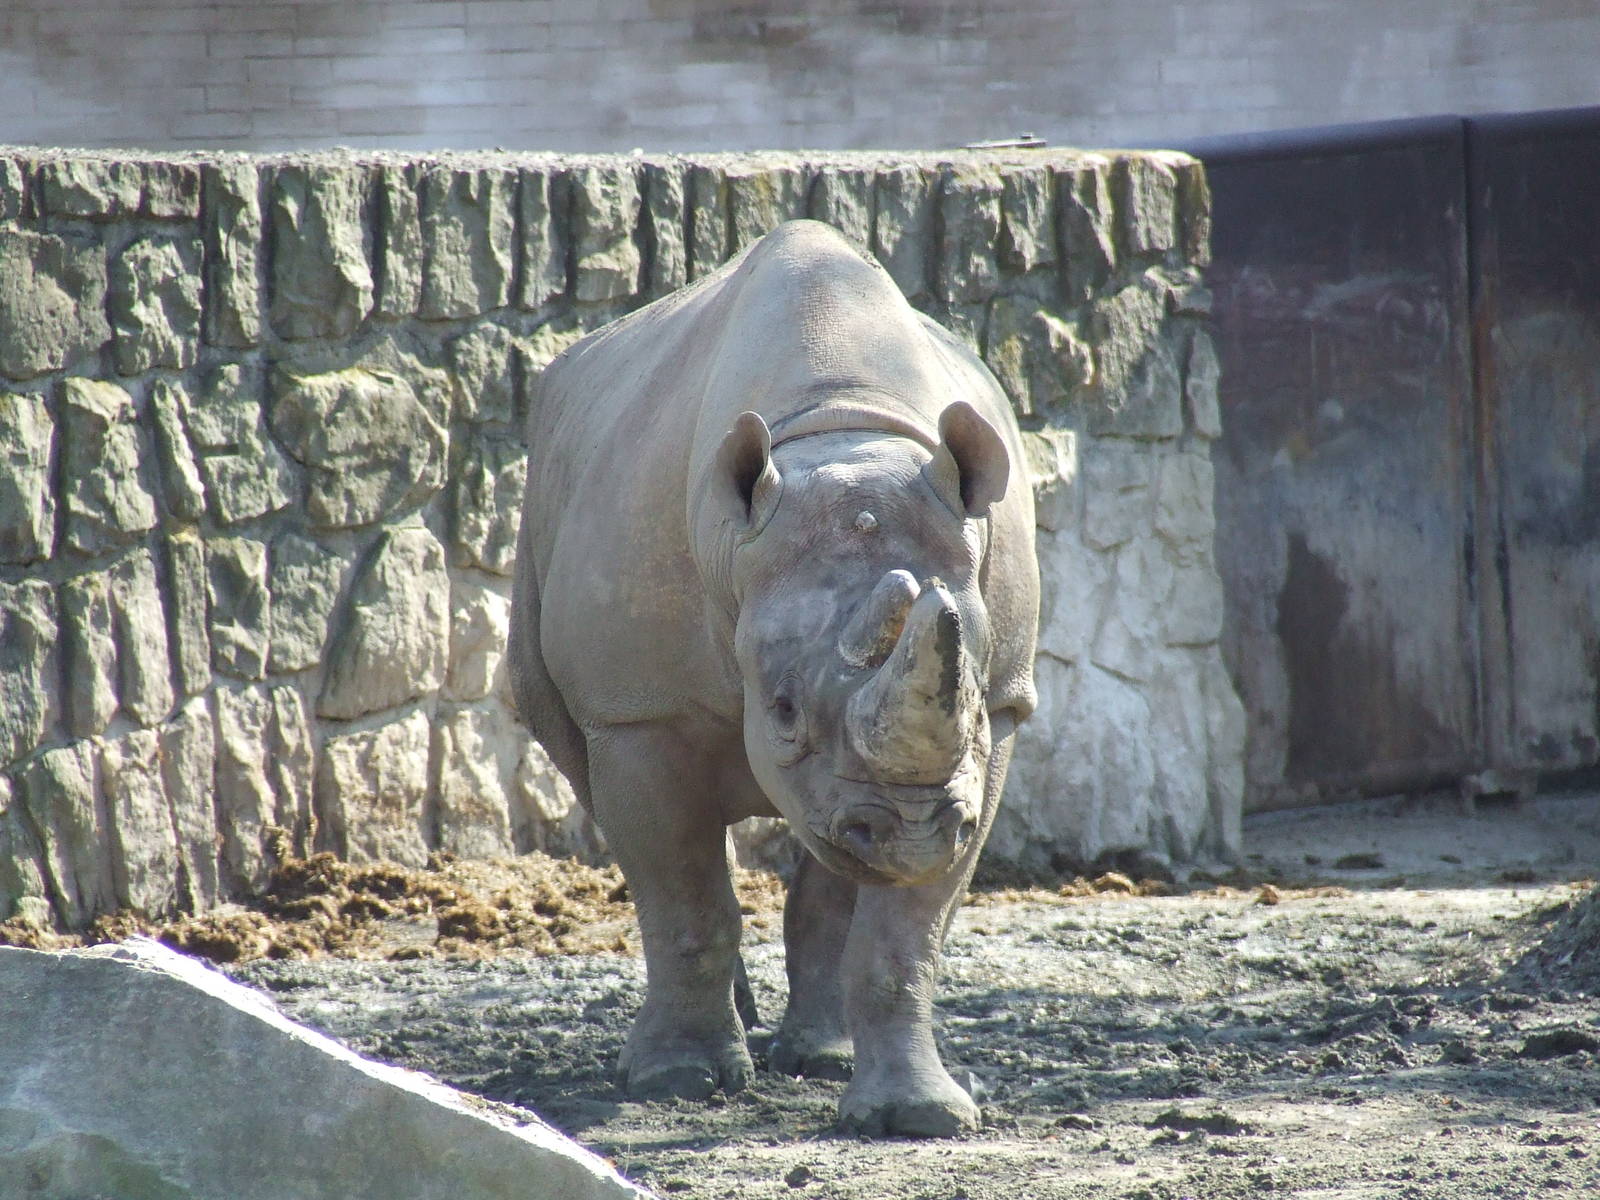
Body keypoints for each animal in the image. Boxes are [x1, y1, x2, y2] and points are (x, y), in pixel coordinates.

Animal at [508, 220, 1039, 1137]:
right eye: (783, 710)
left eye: (969, 697)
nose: (910, 832)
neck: (839, 427)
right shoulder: (638, 711)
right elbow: (682, 891)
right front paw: (678, 1082)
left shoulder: (996, 714)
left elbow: (906, 932)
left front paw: (918, 1117)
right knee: (607, 800)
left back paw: (816, 1055)